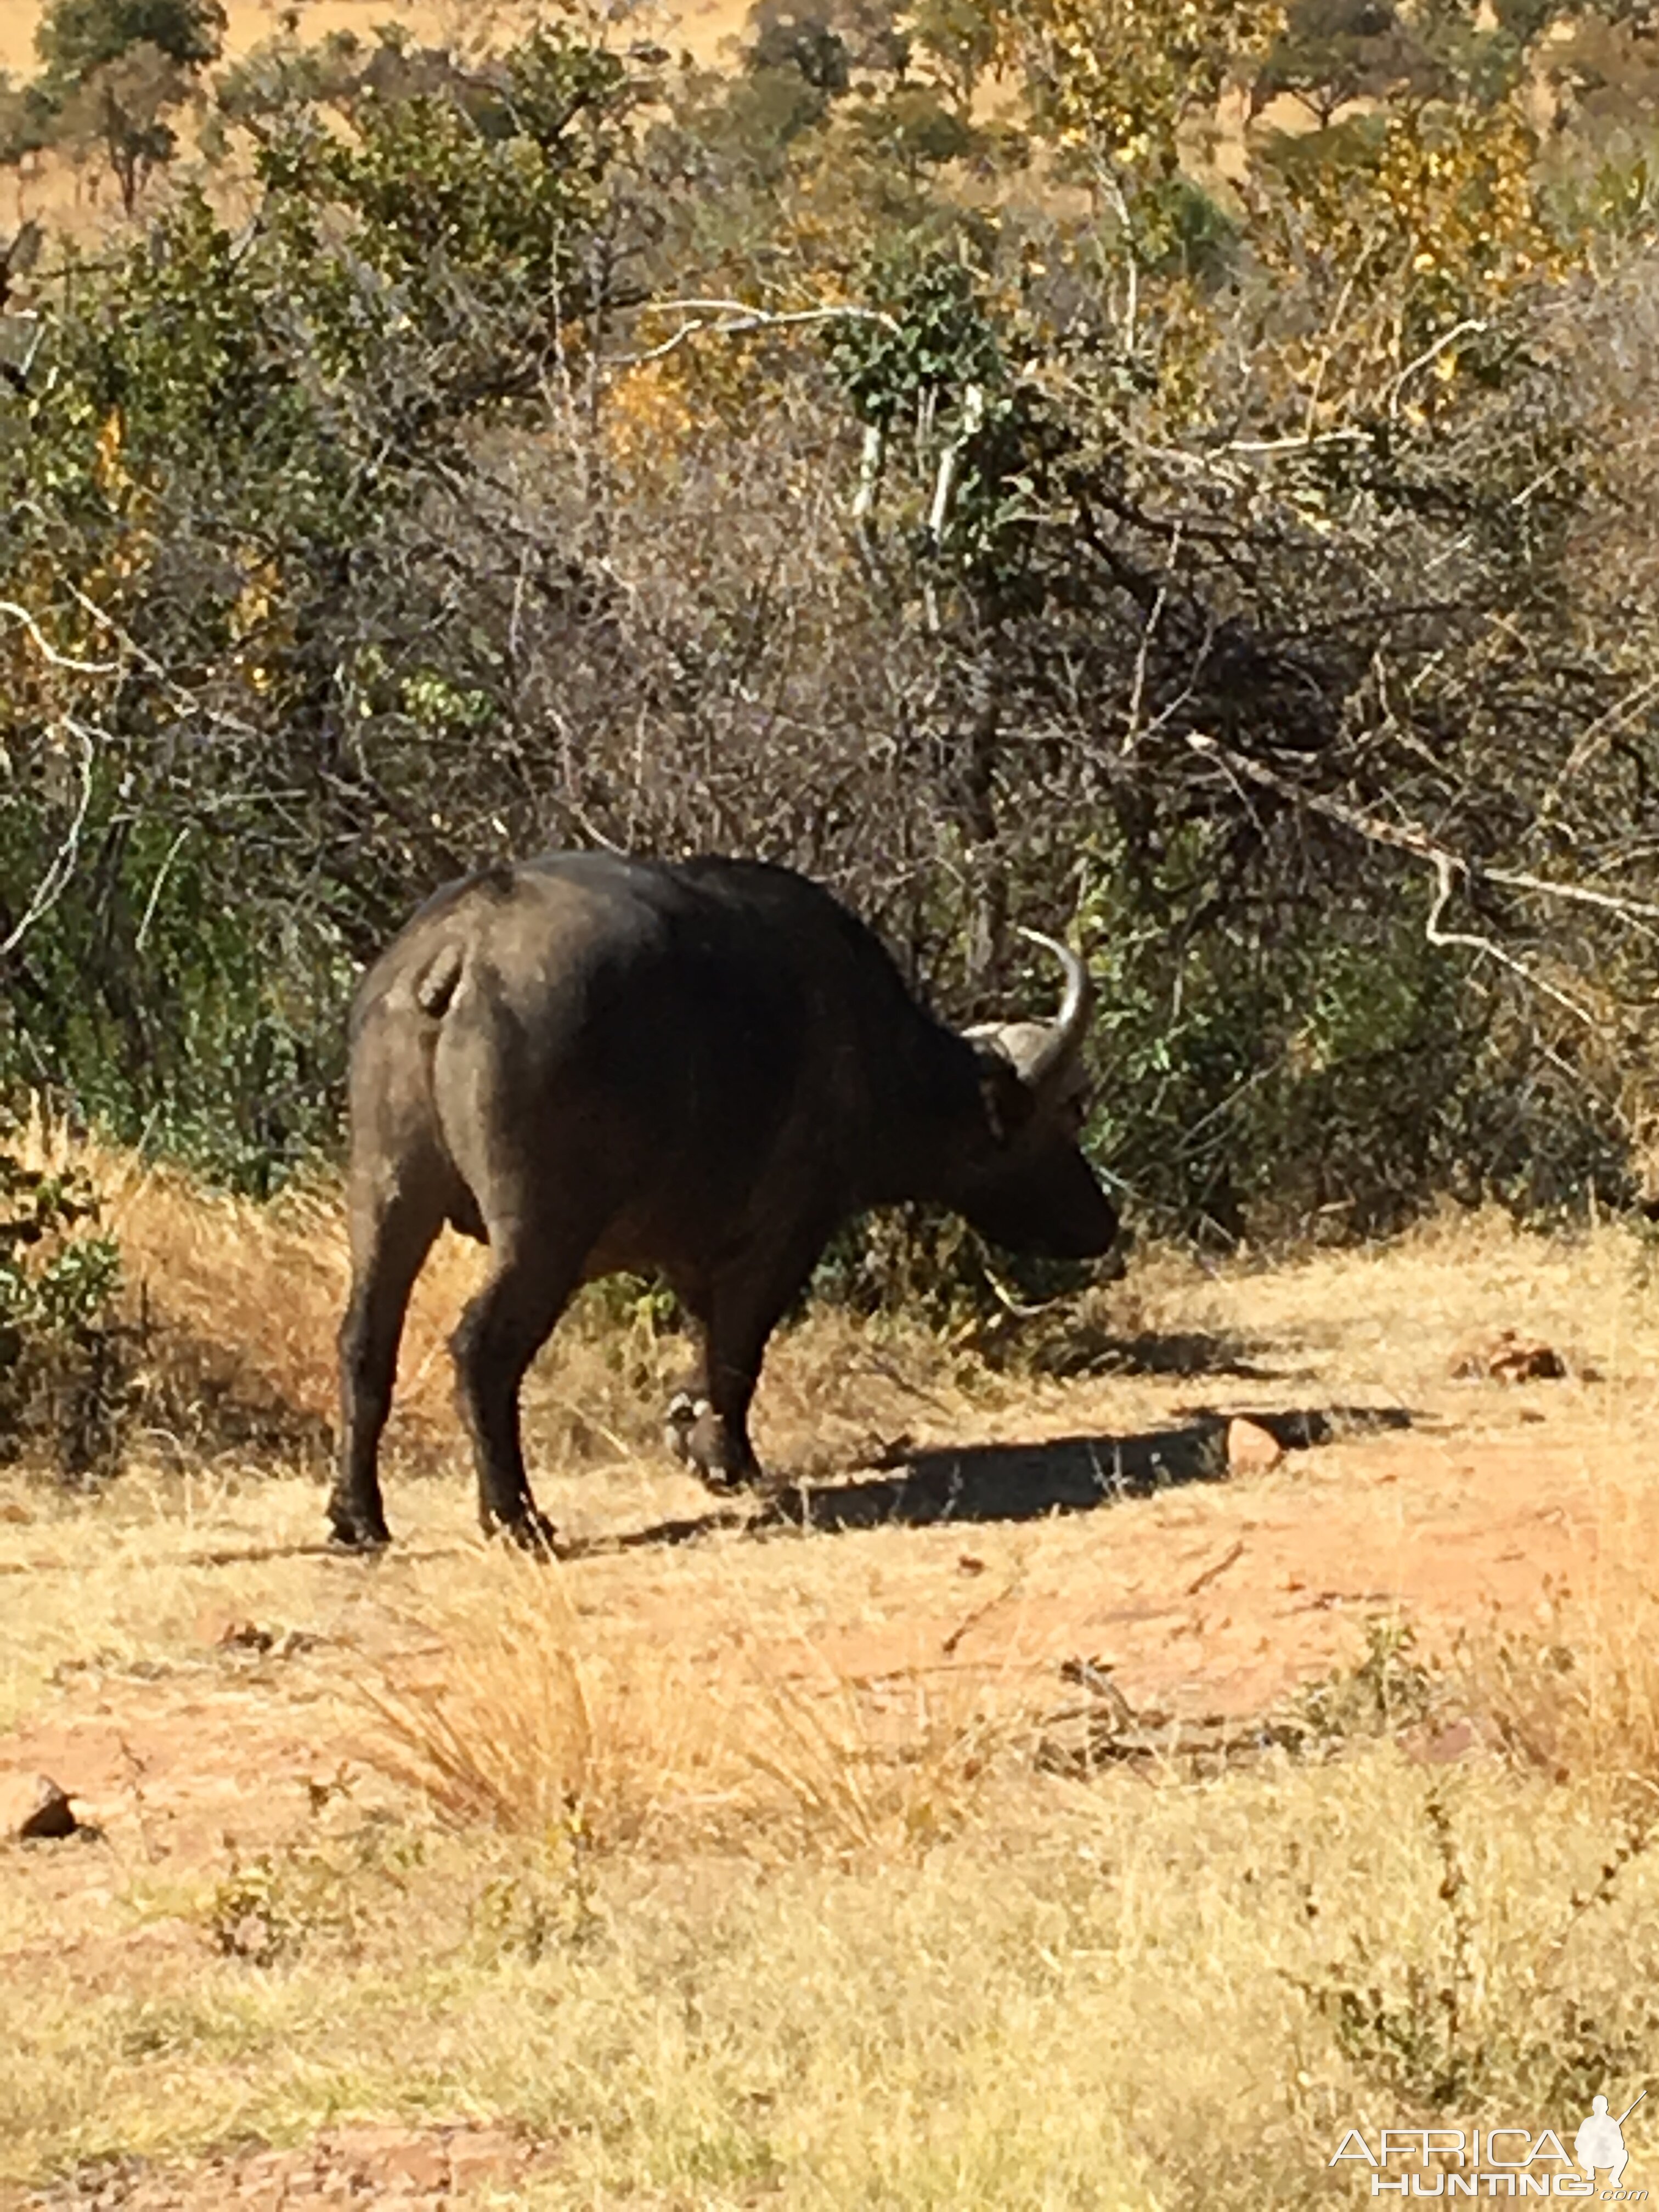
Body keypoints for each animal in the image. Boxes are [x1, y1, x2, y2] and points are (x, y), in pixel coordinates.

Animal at [331, 854, 1119, 1548]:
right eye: (1061, 1118)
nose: (1103, 1224)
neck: (869, 1044)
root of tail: (458, 948)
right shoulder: (783, 1236)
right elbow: (740, 1349)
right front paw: (726, 1459)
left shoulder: (690, 1250)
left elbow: (706, 1341)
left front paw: (690, 1429)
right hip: (541, 1233)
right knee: (482, 1348)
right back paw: (516, 1518)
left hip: (385, 1195)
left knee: (365, 1342)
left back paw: (357, 1518)